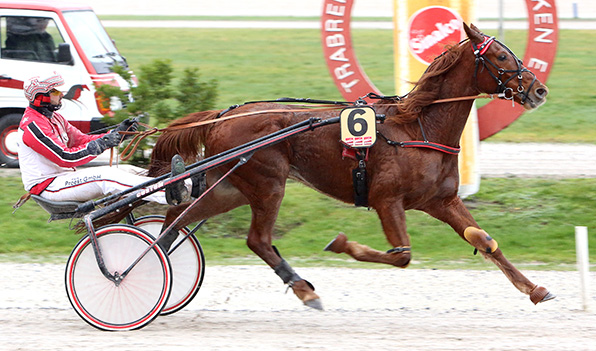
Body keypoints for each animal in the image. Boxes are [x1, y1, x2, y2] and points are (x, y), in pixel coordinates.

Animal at [147, 24, 552, 310]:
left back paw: (155, 258)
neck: (419, 126)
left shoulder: (441, 201)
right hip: (267, 183)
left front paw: (535, 289)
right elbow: (402, 255)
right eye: (500, 56)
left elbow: (485, 241)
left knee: (179, 216)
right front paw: (341, 243)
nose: (539, 90)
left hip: (232, 186)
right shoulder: (387, 199)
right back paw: (304, 291)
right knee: (256, 239)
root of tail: (221, 115)